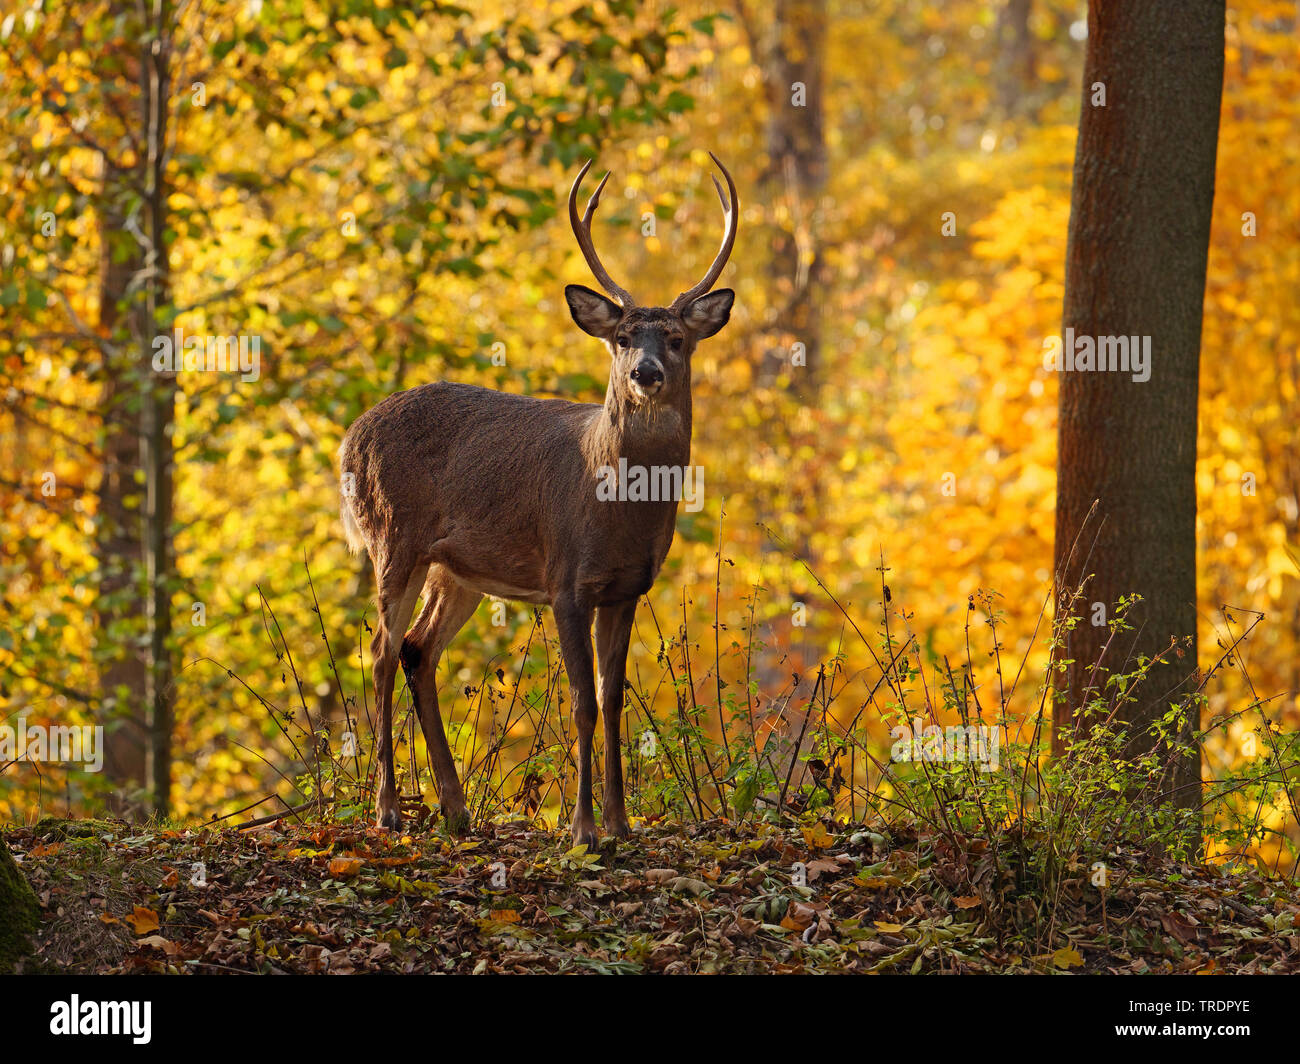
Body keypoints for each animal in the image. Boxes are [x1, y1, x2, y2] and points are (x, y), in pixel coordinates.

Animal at [339, 154, 737, 849]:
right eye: (622, 337)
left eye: (678, 339)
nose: (646, 374)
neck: (618, 506)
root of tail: (351, 437)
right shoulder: (565, 579)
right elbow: (580, 701)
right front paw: (582, 829)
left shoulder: (626, 588)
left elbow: (612, 699)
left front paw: (620, 822)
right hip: (392, 538)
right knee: (383, 651)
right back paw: (389, 809)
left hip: (457, 569)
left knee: (418, 649)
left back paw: (455, 808)